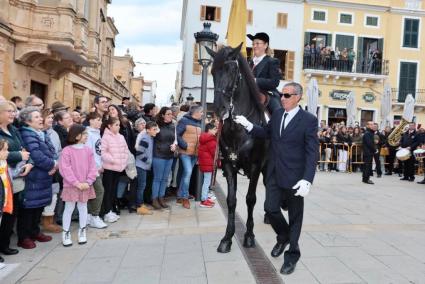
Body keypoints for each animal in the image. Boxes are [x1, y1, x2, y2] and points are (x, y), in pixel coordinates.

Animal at [206, 43, 268, 252]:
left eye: (232, 70)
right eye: (212, 71)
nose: (219, 109)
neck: (238, 128)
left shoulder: (256, 166)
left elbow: (250, 199)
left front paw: (249, 236)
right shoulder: (228, 165)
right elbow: (231, 201)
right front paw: (227, 238)